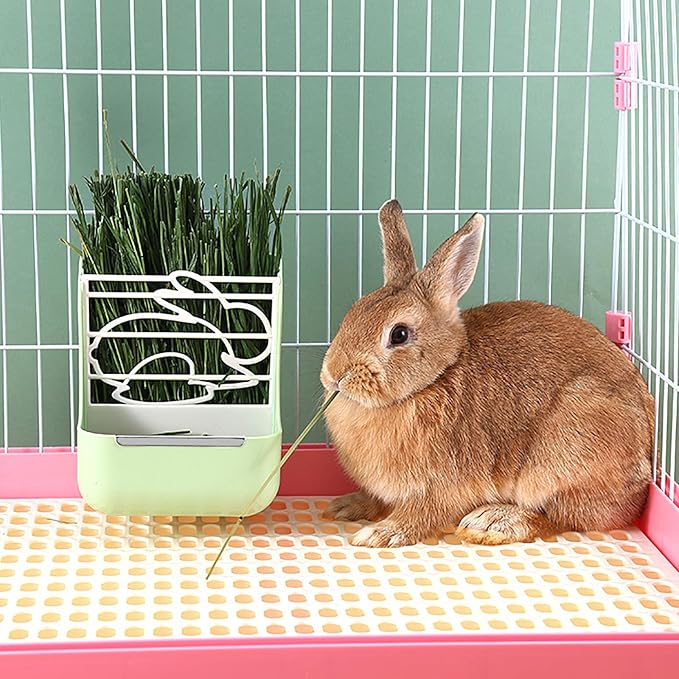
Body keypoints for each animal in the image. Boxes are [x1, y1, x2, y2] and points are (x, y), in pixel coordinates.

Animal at [320, 199, 654, 548]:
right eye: (354, 312)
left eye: (399, 334)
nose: (334, 375)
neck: (434, 379)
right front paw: (347, 506)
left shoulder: (445, 484)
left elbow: (421, 514)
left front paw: (380, 534)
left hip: (563, 453)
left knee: (564, 515)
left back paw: (493, 522)